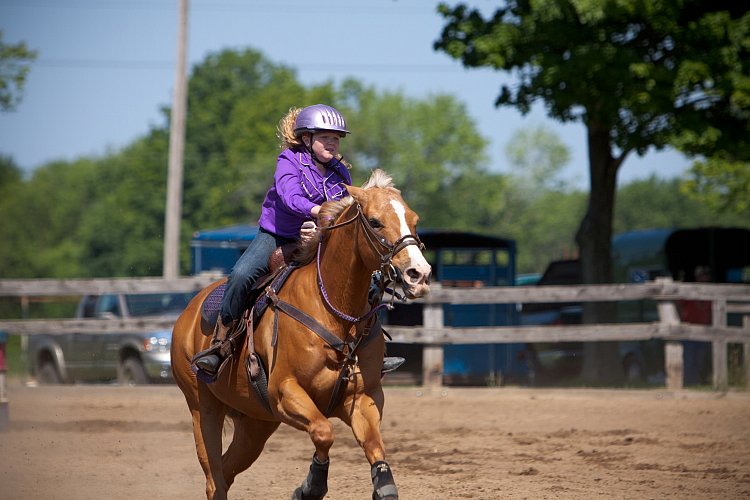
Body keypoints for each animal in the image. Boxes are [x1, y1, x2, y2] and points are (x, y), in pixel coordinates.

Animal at [170, 170, 428, 498]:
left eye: (414, 219)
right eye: (375, 221)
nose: (419, 274)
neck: (333, 313)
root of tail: (188, 313)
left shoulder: (364, 397)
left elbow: (373, 446)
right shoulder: (285, 392)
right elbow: (324, 432)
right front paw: (310, 486)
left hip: (256, 424)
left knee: (225, 472)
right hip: (203, 409)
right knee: (214, 476)